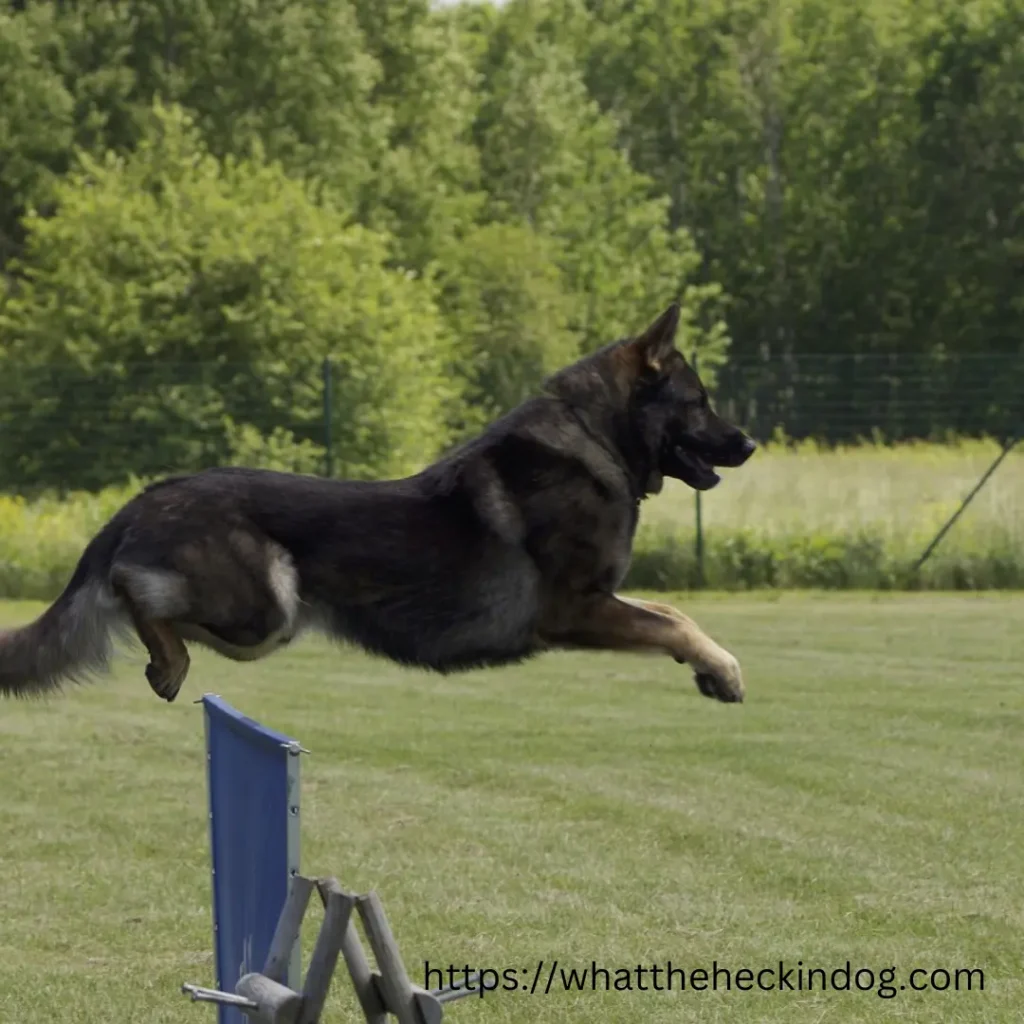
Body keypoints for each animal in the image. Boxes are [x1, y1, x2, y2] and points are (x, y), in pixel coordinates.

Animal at [0, 303, 753, 704]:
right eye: (699, 401)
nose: (747, 444)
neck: (593, 436)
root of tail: (141, 501)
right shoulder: (576, 609)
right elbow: (671, 624)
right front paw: (722, 668)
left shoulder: (601, 603)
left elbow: (674, 613)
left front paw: (713, 668)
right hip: (268, 607)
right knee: (138, 596)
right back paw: (167, 658)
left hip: (271, 620)